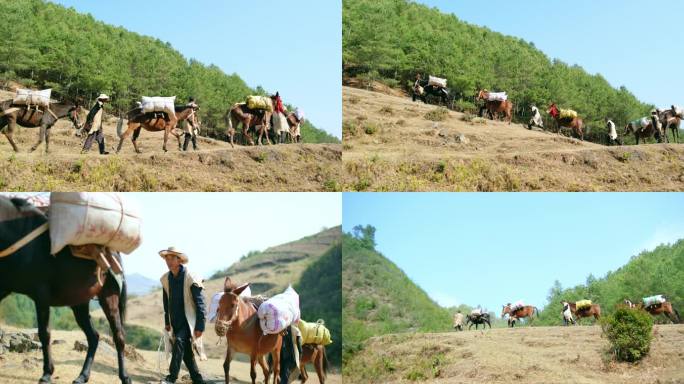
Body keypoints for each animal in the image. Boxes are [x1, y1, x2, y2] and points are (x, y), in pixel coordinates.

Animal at [0, 196, 131, 382]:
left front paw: (47, 373)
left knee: (118, 336)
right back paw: (82, 376)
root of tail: (115, 255)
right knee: (94, 337)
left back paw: (124, 376)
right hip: (79, 303)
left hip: (109, 297)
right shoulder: (3, 288)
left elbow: (44, 333)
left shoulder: (41, 295)